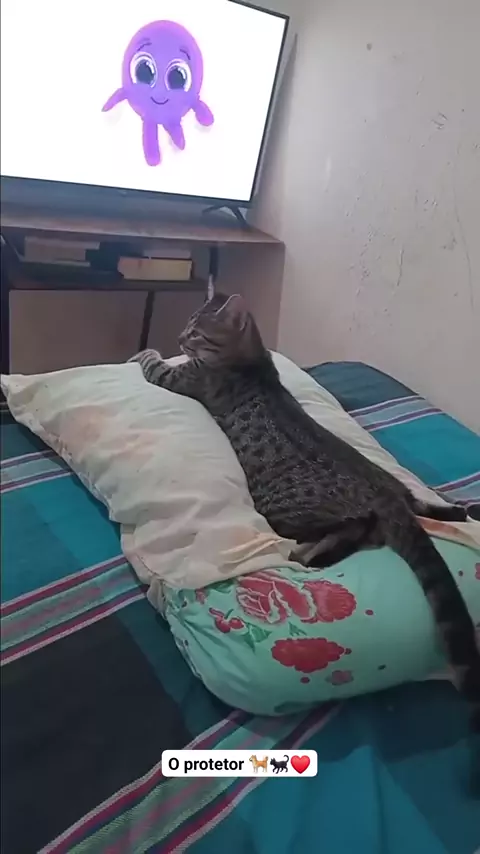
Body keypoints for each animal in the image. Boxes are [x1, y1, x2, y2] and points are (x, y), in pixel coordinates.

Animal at [129, 292, 480, 782]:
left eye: (195, 333)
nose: (180, 337)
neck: (250, 361)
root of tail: (387, 493)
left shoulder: (181, 379)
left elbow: (154, 366)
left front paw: (143, 352)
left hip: (282, 508)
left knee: (353, 531)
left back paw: (308, 554)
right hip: (391, 498)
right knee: (392, 520)